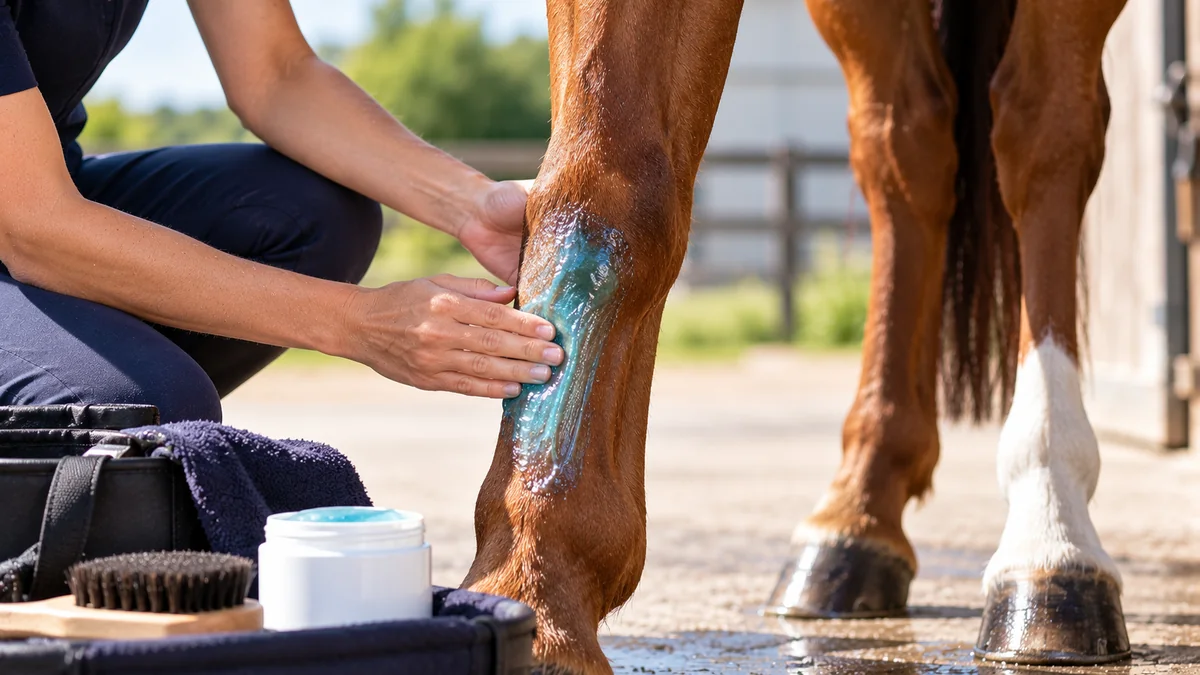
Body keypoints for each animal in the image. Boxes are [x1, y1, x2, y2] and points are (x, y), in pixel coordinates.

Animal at [461, 0, 1130, 672]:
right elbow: (605, 192)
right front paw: (535, 587)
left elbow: (1045, 126)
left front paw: (1050, 528)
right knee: (905, 141)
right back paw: (855, 521)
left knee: (1034, 130)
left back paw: (1043, 539)